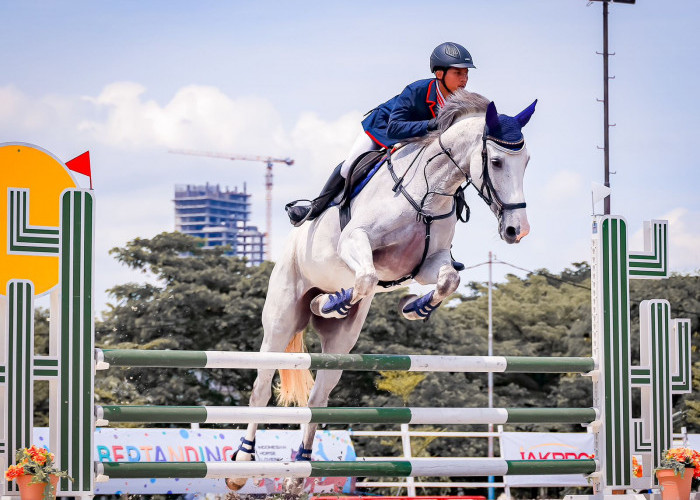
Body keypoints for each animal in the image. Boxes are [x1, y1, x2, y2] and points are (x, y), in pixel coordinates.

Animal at [224, 91, 536, 492]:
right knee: (262, 385)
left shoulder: (428, 263)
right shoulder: (355, 242)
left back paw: (301, 468)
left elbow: (447, 280)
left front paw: (415, 307)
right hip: (280, 318)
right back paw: (241, 463)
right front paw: (333, 301)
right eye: (496, 161)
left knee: (319, 395)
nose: (517, 230)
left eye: (526, 162)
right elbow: (368, 278)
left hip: (340, 346)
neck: (426, 191)